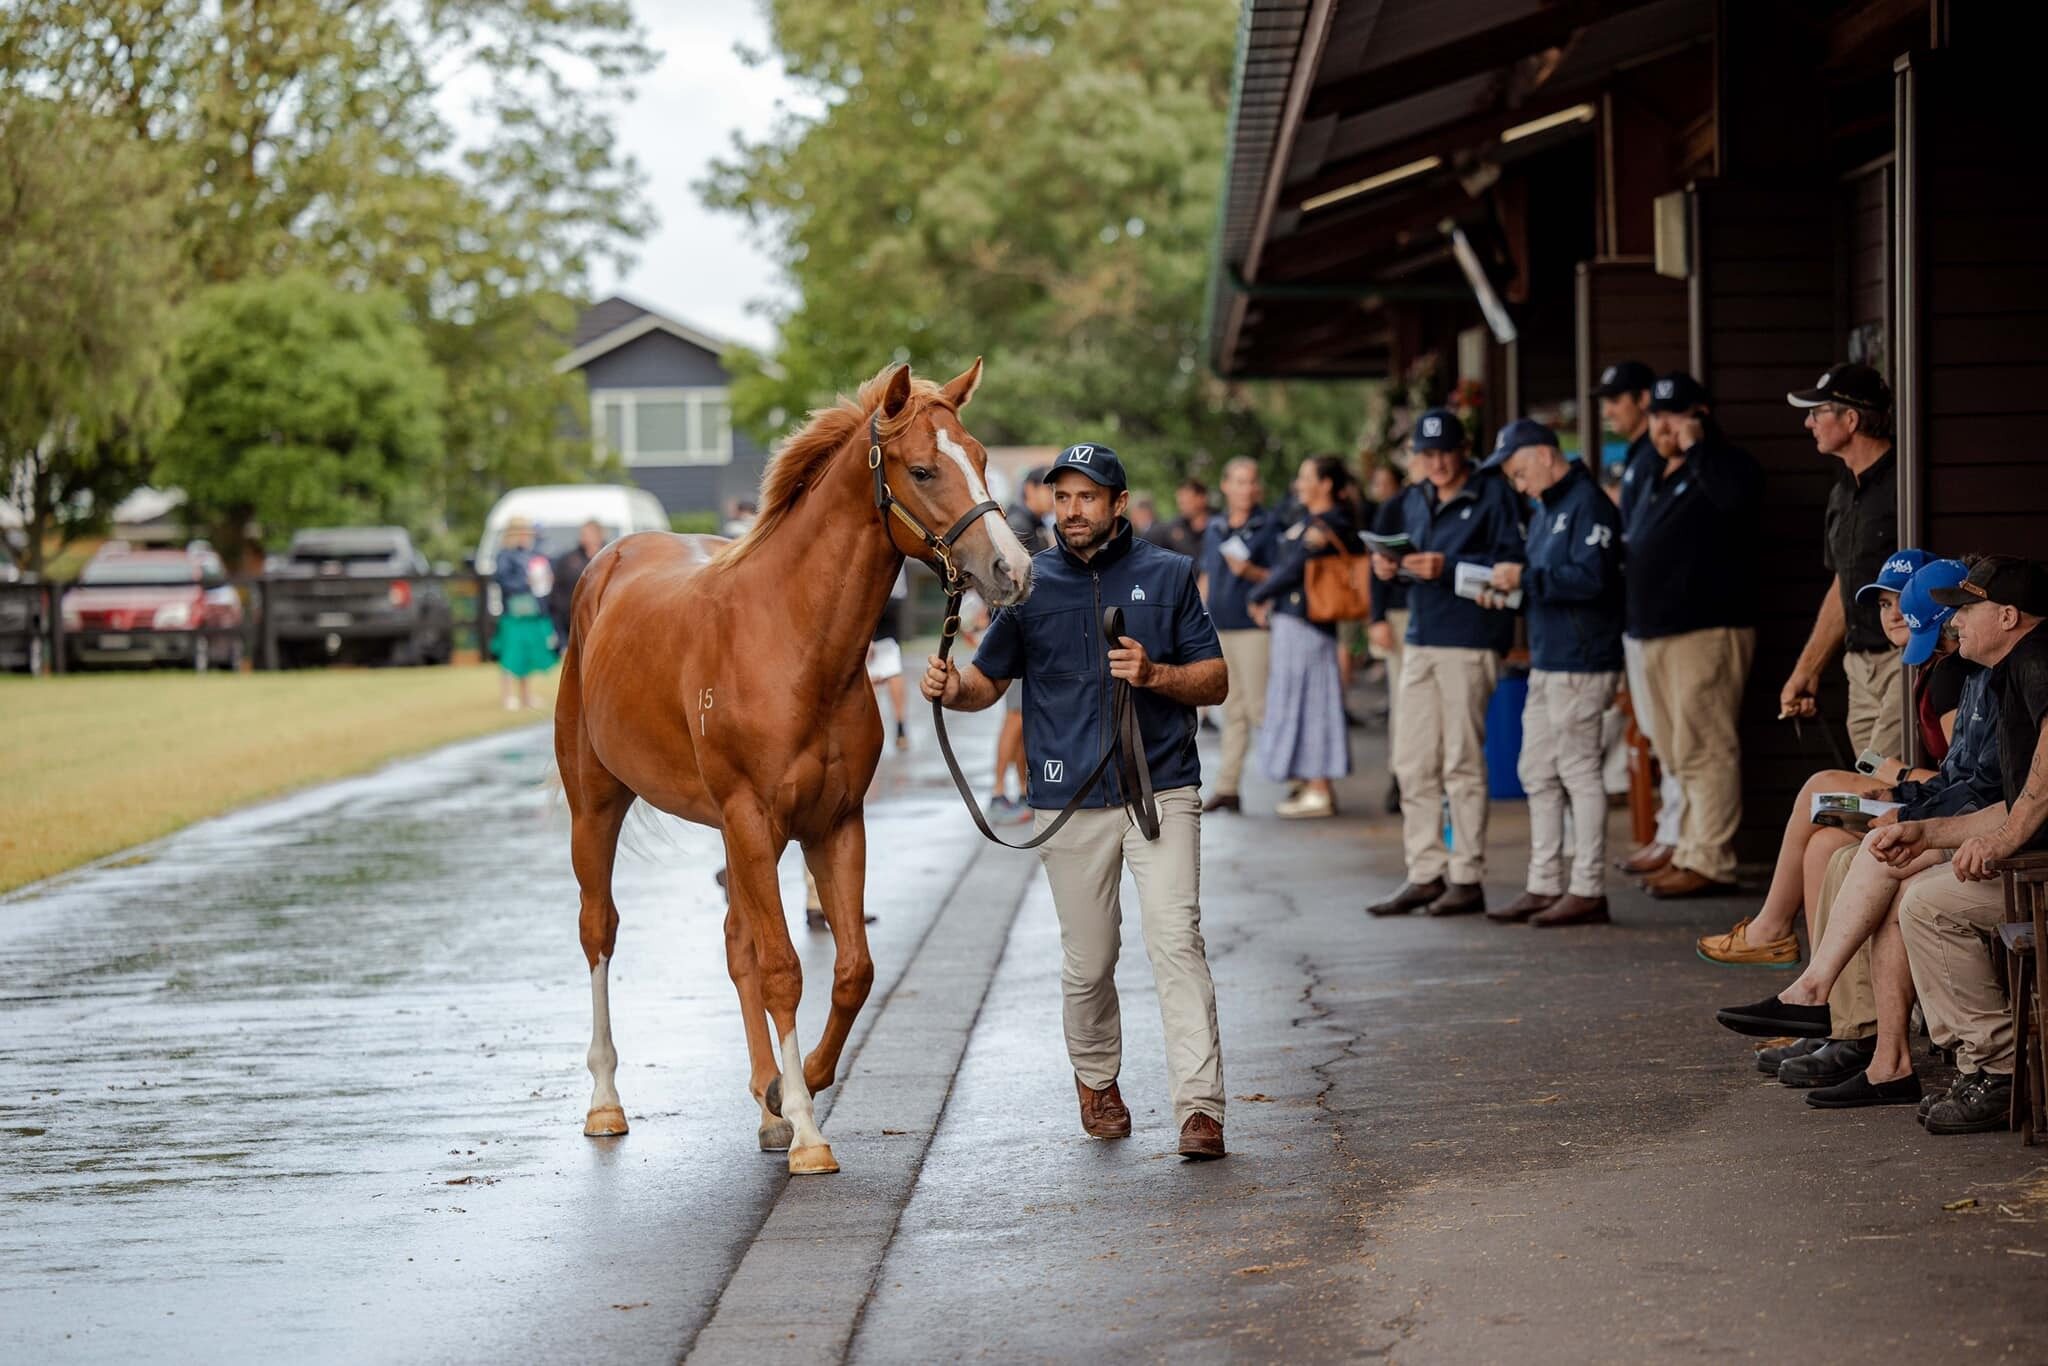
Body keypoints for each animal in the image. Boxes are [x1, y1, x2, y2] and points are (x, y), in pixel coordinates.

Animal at [552, 362, 1032, 1179]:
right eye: (923, 468)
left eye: (980, 456)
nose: (1013, 568)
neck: (792, 640)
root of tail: (608, 563)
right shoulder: (751, 816)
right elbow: (784, 967)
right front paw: (808, 1129)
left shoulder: (832, 822)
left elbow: (850, 968)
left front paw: (790, 1087)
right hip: (598, 806)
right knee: (599, 930)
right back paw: (606, 1103)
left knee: (734, 940)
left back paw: (765, 1101)